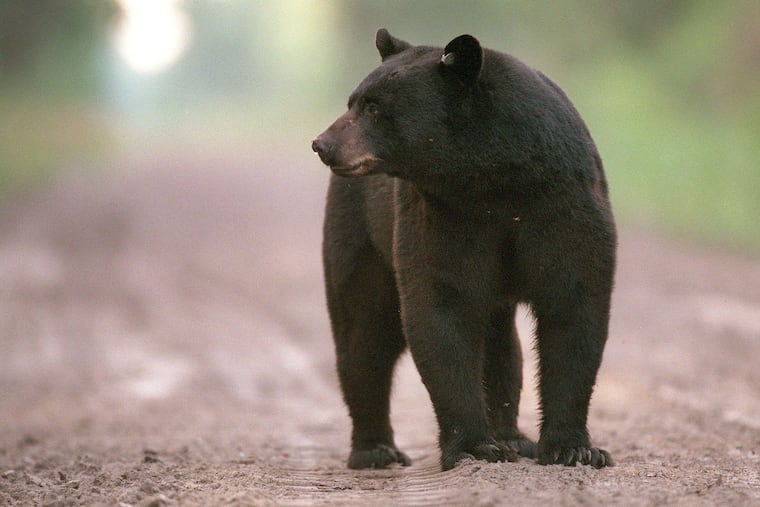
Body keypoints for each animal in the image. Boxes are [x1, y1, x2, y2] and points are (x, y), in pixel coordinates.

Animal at [312, 29, 616, 471]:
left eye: (374, 106)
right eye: (353, 101)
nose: (322, 143)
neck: (493, 179)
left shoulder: (564, 203)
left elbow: (574, 308)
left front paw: (575, 448)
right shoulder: (444, 215)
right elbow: (442, 307)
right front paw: (475, 445)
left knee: (500, 345)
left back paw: (512, 436)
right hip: (360, 233)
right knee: (364, 333)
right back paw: (375, 449)